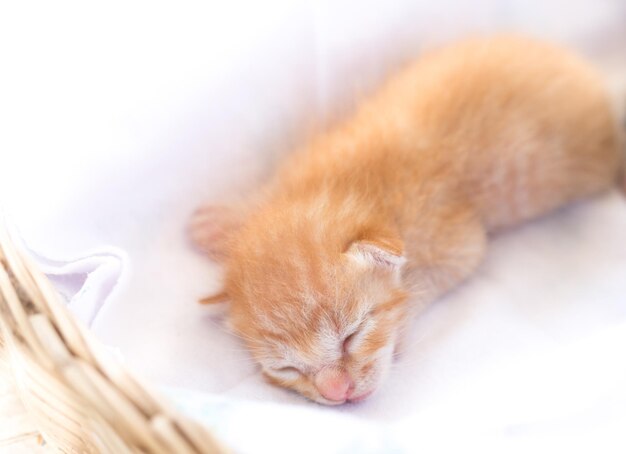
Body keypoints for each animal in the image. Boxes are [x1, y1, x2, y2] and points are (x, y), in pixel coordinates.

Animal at [188, 35, 620, 404]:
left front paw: (402, 324)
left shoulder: (457, 240)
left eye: (351, 336)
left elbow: (426, 282)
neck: (350, 188)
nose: (337, 393)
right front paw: (225, 221)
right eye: (287, 368)